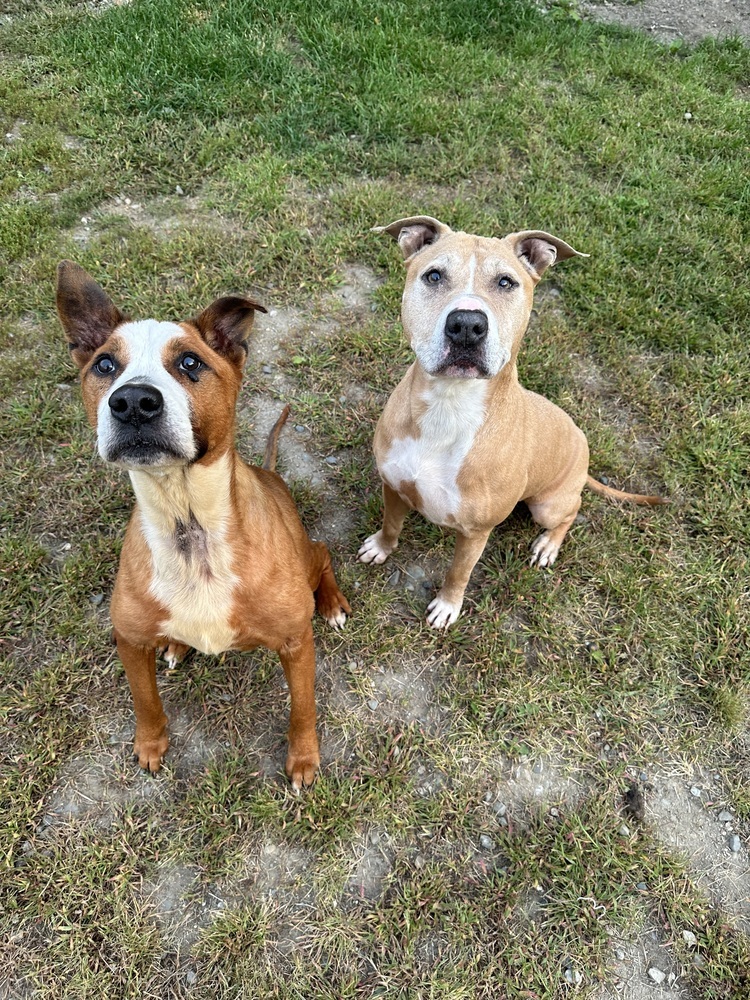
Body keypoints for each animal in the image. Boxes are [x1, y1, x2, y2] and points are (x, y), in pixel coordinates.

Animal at [58, 264, 352, 788]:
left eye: (190, 362)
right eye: (105, 366)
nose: (133, 401)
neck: (189, 522)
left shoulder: (297, 644)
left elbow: (303, 707)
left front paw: (303, 759)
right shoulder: (129, 642)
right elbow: (144, 700)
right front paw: (150, 745)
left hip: (309, 553)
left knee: (323, 555)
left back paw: (333, 603)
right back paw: (176, 644)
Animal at [362, 216, 668, 628]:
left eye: (506, 282)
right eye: (434, 276)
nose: (467, 324)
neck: (449, 404)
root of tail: (582, 447)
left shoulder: (476, 532)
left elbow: (459, 571)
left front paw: (447, 605)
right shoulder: (394, 487)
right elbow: (391, 524)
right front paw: (381, 547)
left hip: (548, 505)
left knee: (572, 512)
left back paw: (548, 546)